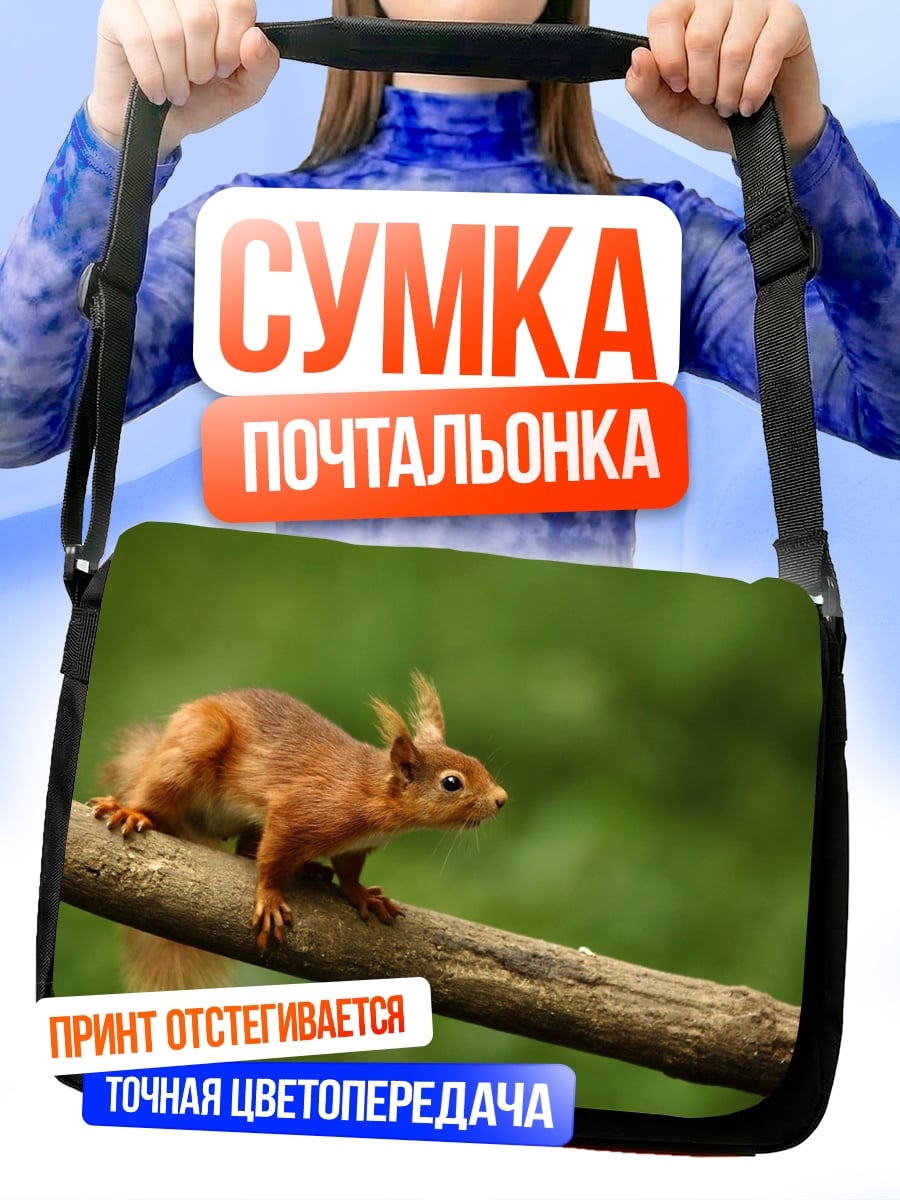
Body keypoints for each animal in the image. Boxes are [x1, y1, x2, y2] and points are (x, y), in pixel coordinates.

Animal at [90, 671, 507, 953]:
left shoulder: (355, 845)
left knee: (245, 848)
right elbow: (272, 861)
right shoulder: (300, 812)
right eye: (452, 783)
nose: (502, 799)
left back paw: (310, 869)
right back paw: (131, 811)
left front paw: (361, 895)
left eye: (475, 762)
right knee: (159, 793)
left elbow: (349, 872)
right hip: (195, 747)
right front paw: (271, 897)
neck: (371, 793)